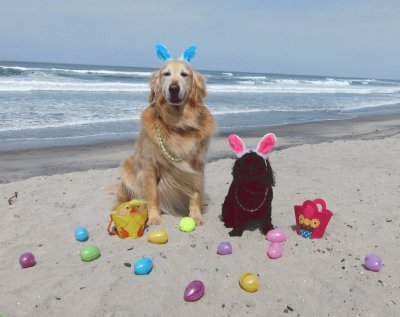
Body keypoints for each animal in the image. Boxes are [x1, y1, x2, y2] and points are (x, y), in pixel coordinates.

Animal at [112, 59, 216, 225]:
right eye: (166, 74)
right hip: (127, 167)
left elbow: (196, 193)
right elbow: (152, 194)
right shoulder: (149, 165)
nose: (173, 88)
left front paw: (196, 215)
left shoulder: (198, 164)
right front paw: (154, 216)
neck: (178, 122)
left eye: (184, 74)